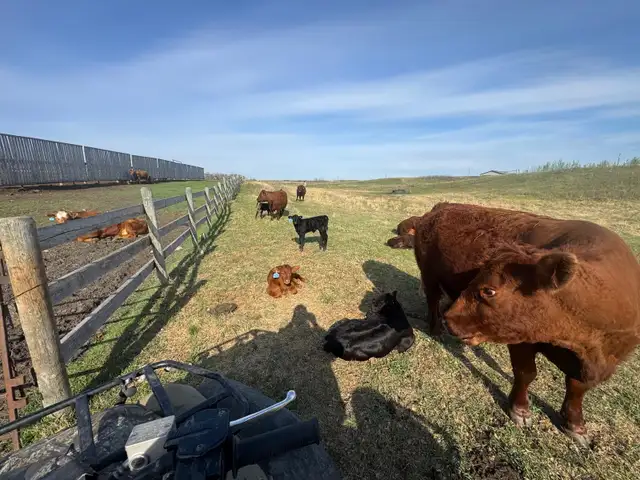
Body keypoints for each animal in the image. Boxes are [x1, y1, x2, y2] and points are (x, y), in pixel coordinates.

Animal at [413, 202, 640, 446]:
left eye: (489, 290)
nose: (450, 318)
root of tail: (442, 207)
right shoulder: (522, 339)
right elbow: (526, 373)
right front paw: (520, 411)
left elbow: (577, 388)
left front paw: (575, 425)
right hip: (429, 276)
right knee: (432, 299)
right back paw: (436, 329)